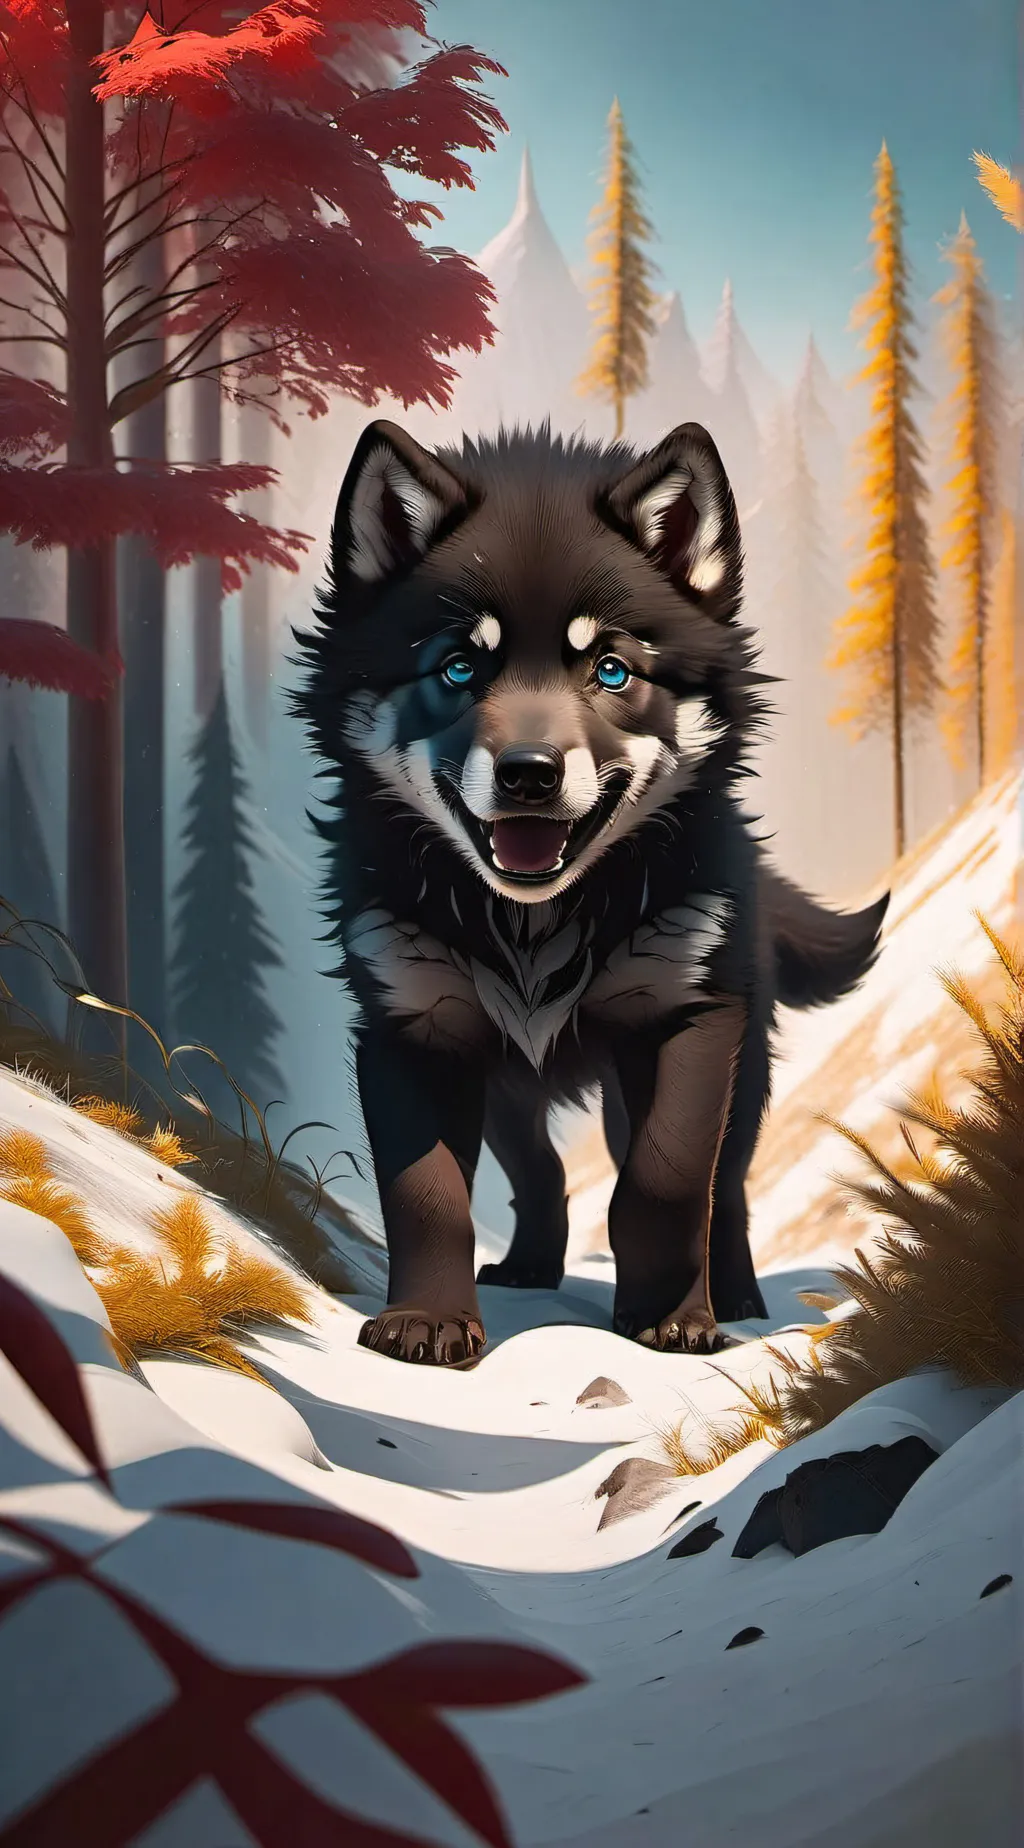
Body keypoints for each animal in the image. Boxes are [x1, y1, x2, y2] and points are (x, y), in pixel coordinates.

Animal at [293, 418, 887, 1366]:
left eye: (611, 670)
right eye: (458, 669)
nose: (530, 775)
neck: (532, 922)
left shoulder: (688, 1022)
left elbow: (668, 1178)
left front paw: (670, 1317)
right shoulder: (412, 1028)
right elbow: (427, 1195)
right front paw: (425, 1321)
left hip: (739, 1069)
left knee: (728, 1185)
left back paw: (737, 1295)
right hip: (508, 1086)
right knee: (539, 1174)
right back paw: (531, 1267)